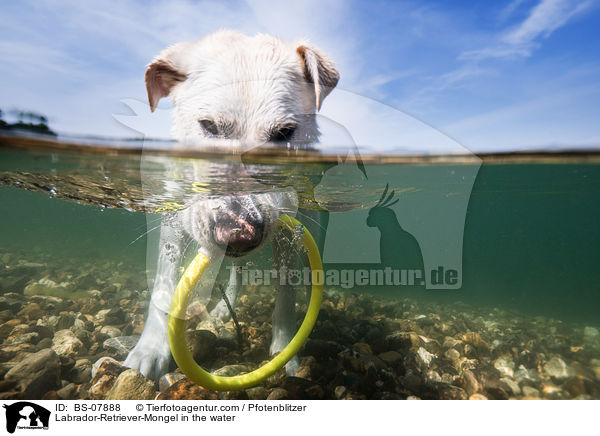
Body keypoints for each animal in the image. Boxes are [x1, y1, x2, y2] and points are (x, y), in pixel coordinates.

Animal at [123, 30, 338, 380]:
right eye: (209, 126)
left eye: (285, 132)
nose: (239, 231)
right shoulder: (174, 222)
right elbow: (163, 285)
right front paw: (149, 351)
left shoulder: (286, 231)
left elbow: (286, 291)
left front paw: (284, 352)